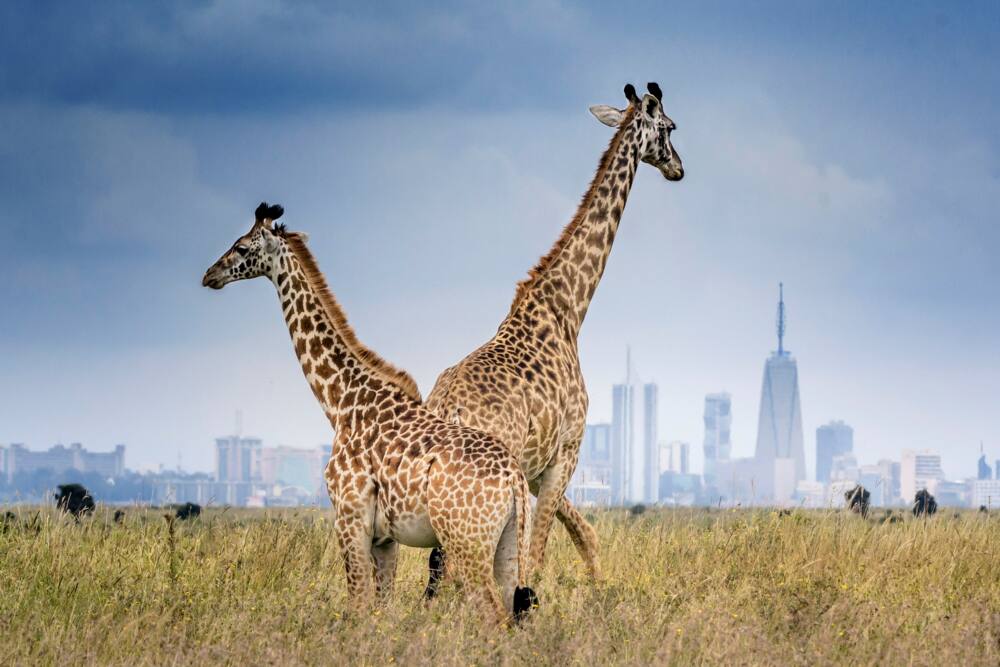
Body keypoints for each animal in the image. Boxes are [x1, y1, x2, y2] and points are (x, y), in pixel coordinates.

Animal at [201, 202, 540, 628]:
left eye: (242, 247)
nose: (209, 275)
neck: (343, 403)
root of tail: (514, 479)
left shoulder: (349, 519)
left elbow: (358, 604)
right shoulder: (384, 537)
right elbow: (381, 608)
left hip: (466, 543)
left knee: (492, 614)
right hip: (509, 544)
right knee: (513, 614)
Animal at [418, 81, 684, 592]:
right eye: (669, 127)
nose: (679, 168)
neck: (568, 310)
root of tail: (450, 409)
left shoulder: (541, 468)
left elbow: (587, 537)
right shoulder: (568, 452)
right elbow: (537, 557)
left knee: (440, 568)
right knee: (462, 569)